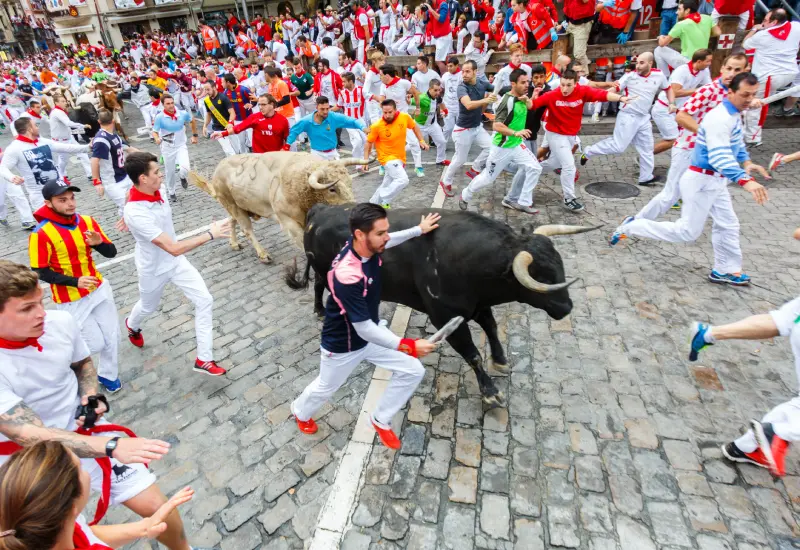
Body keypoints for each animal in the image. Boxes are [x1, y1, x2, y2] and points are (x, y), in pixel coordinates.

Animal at [189, 151, 368, 264]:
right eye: (332, 189)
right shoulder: (288, 221)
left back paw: (233, 243)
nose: (354, 208)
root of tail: (220, 166)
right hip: (233, 206)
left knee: (231, 220)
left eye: (349, 182)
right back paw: (263, 255)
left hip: (236, 206)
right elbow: (302, 242)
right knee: (246, 229)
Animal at [288, 206, 600, 410]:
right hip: (323, 270)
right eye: (541, 276)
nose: (566, 307)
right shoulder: (445, 317)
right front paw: (490, 392)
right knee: (320, 287)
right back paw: (319, 311)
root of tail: (321, 210)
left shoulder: (477, 306)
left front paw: (500, 358)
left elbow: (492, 328)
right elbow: (472, 354)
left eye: (559, 264)